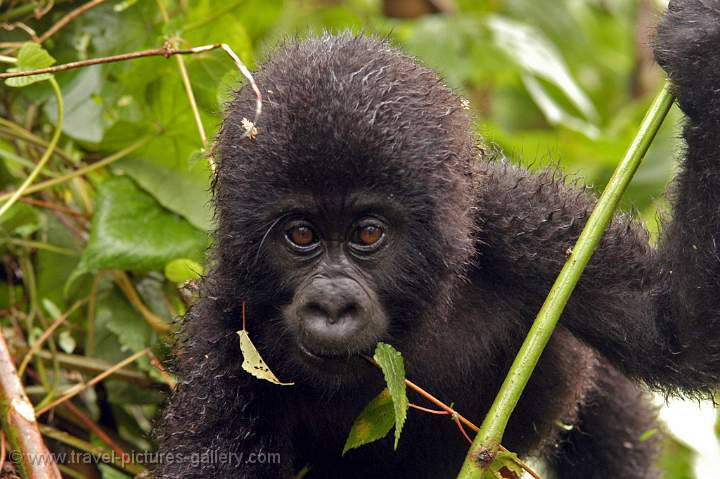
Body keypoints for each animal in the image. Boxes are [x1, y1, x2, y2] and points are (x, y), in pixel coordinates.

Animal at [159, 1, 720, 478]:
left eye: (368, 233)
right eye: (301, 235)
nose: (332, 305)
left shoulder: (520, 223)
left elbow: (673, 329)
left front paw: (701, 52)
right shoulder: (226, 333)